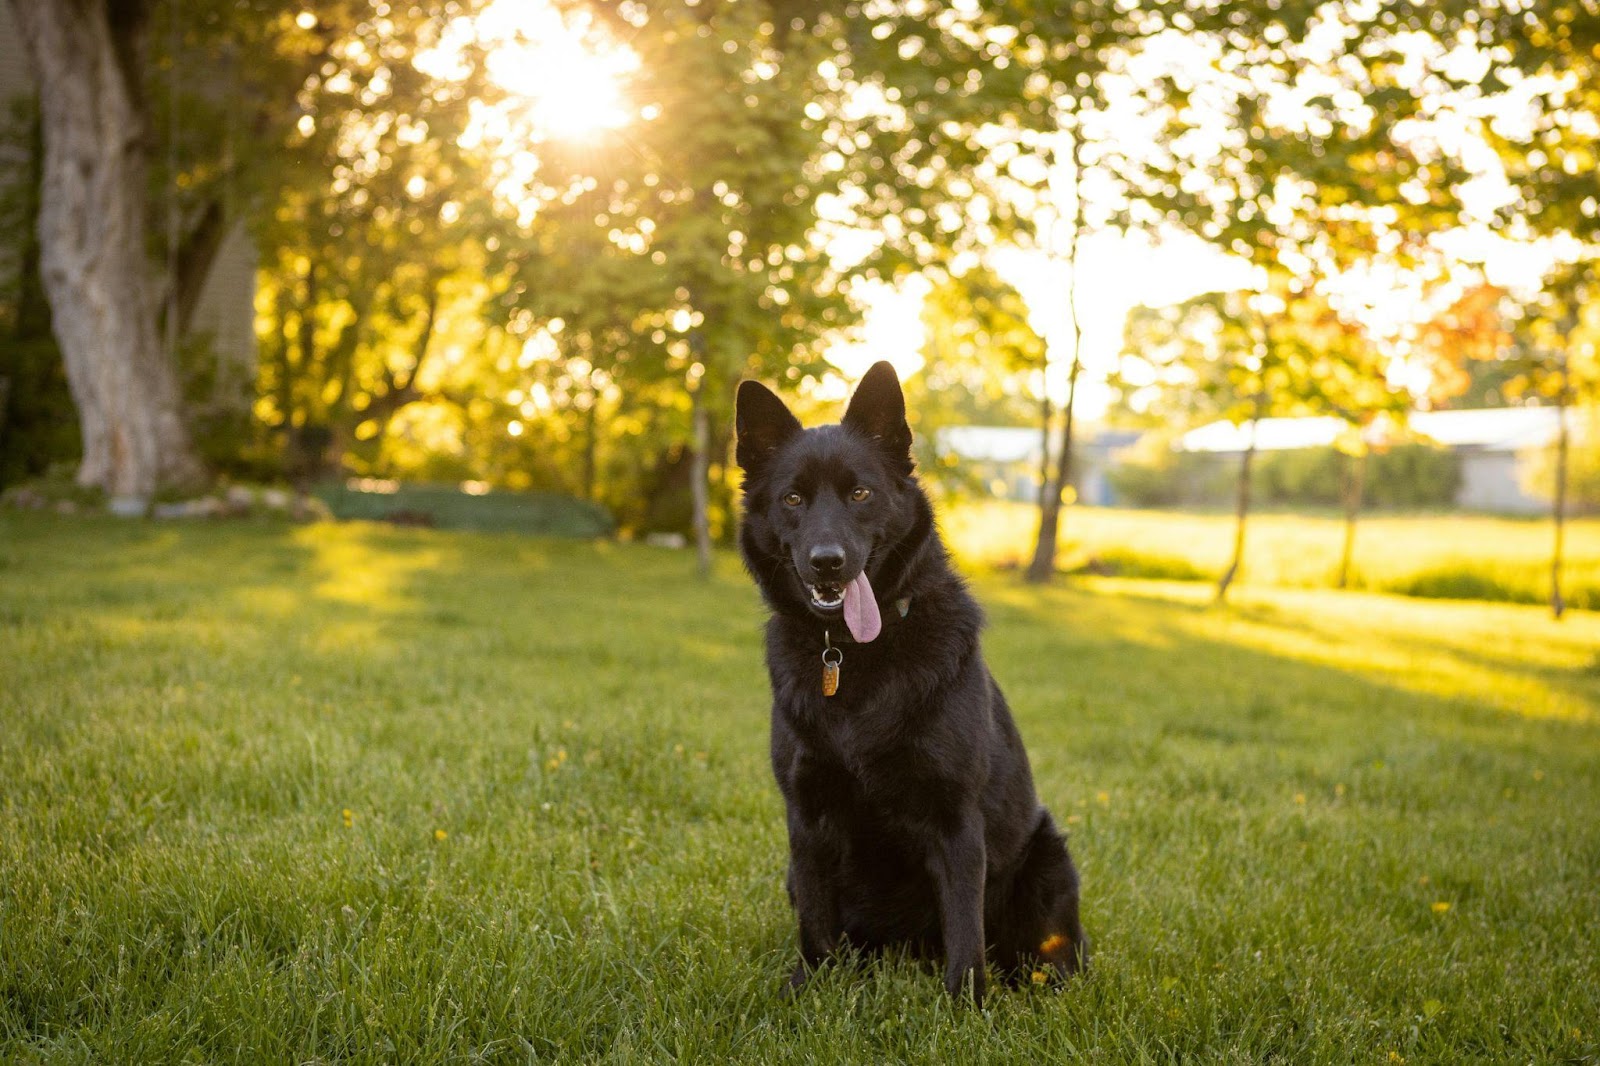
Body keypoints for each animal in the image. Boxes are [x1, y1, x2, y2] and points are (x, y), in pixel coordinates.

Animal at [736, 361, 1088, 998]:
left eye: (860, 493)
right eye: (792, 498)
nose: (827, 562)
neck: (853, 657)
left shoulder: (955, 820)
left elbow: (965, 933)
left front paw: (967, 1006)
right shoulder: (806, 819)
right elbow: (816, 926)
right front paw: (808, 992)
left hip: (1047, 859)